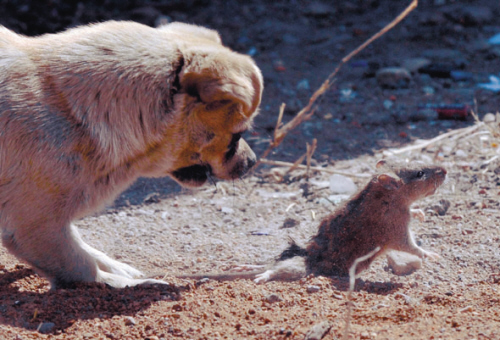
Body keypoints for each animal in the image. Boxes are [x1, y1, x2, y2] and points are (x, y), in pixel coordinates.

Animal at [0, 20, 264, 286]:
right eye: (238, 135)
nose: (252, 161)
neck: (72, 114)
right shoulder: (35, 225)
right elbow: (84, 268)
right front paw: (132, 284)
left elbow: (82, 247)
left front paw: (119, 269)